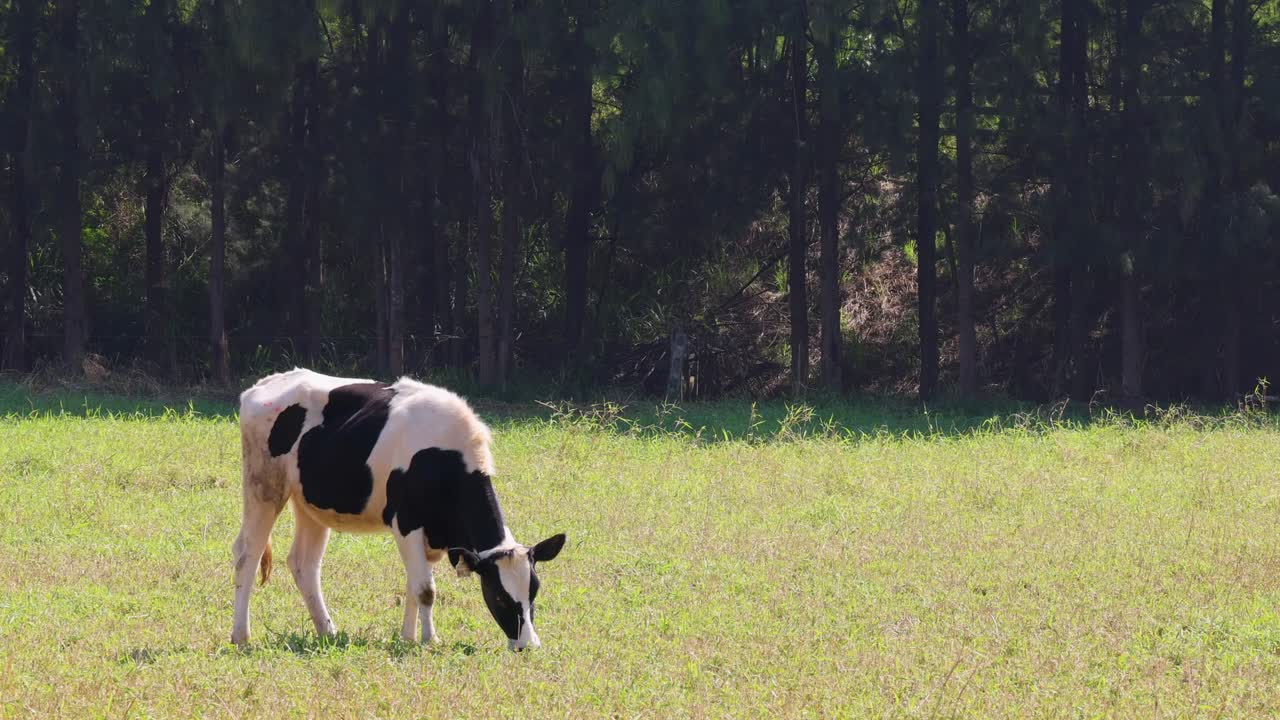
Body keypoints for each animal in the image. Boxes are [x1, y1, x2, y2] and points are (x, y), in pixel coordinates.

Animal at [230, 369, 566, 651]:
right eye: (499, 595)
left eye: (534, 592)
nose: (528, 645)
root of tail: (265, 383)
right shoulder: (406, 523)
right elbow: (426, 589)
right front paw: (430, 640)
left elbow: (414, 585)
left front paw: (408, 637)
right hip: (264, 488)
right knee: (248, 554)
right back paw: (241, 636)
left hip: (310, 505)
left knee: (304, 564)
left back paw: (328, 631)